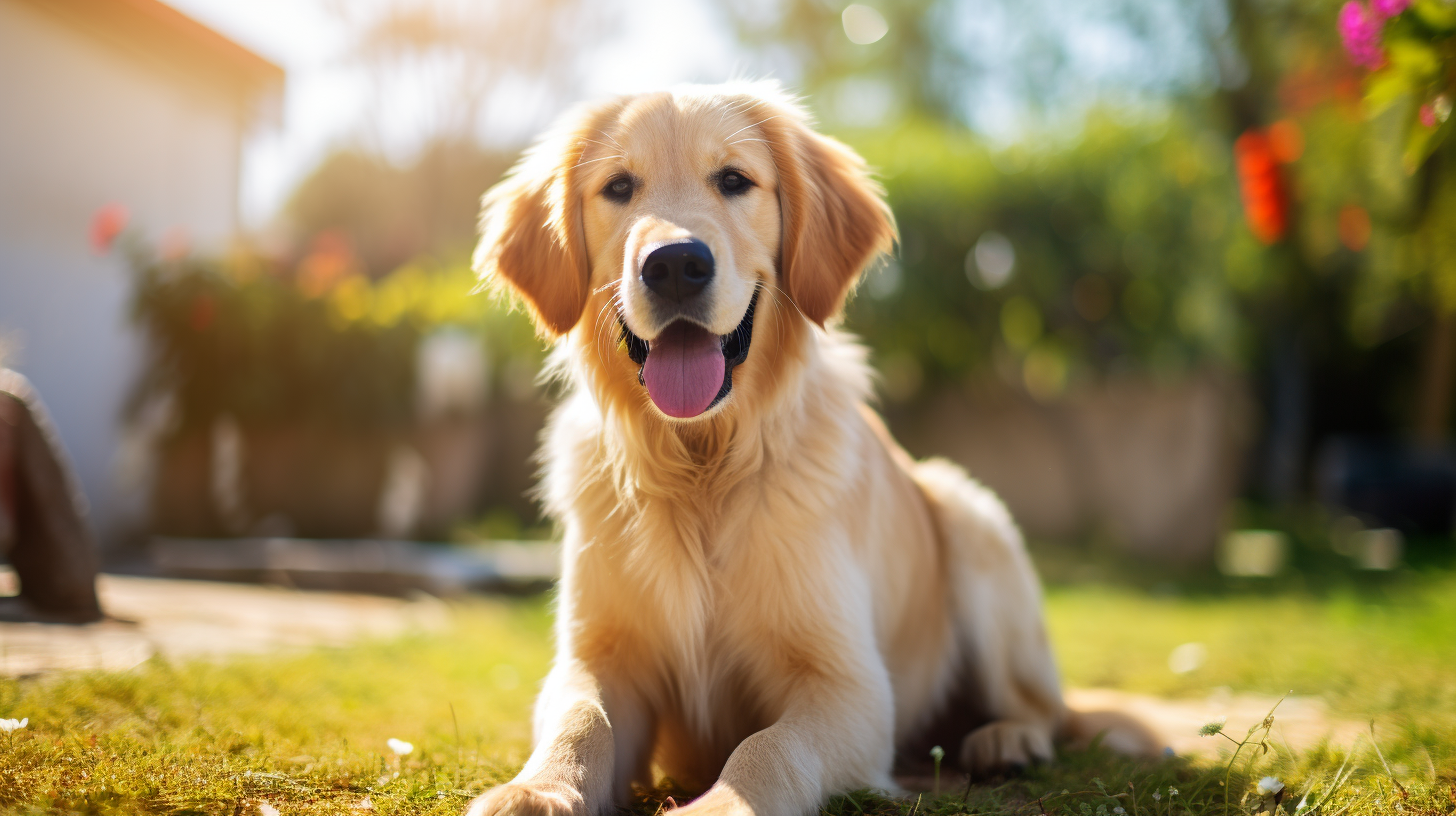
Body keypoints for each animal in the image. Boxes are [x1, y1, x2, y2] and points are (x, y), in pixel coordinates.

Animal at [460, 81, 1153, 816]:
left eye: (734, 180)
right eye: (618, 186)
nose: (674, 264)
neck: (704, 464)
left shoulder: (849, 686)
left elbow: (769, 748)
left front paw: (719, 806)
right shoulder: (598, 657)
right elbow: (580, 719)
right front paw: (536, 788)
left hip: (973, 518)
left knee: (1044, 709)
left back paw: (1006, 740)